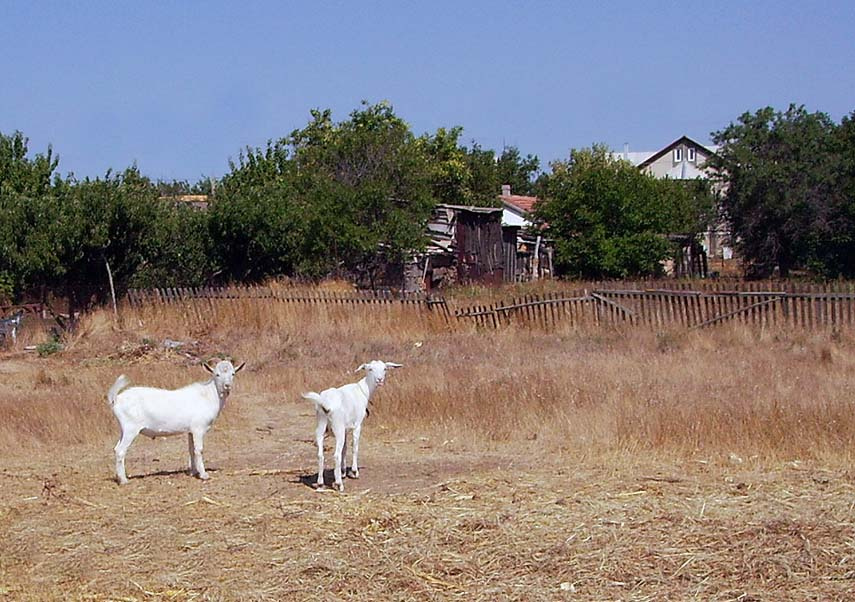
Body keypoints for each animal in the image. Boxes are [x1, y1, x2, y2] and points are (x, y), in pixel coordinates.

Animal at [107, 359, 245, 485]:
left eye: (233, 373)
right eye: (217, 374)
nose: (227, 385)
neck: (208, 396)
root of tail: (116, 399)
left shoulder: (190, 431)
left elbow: (191, 450)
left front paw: (193, 472)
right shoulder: (198, 429)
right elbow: (199, 450)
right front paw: (204, 475)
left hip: (124, 430)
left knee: (116, 448)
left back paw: (119, 477)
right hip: (131, 429)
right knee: (121, 451)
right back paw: (124, 480)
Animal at [303, 360, 402, 492]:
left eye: (385, 368)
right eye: (370, 369)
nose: (379, 380)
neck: (363, 390)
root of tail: (325, 404)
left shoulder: (345, 430)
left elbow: (345, 449)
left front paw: (343, 471)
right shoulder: (357, 425)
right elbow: (354, 447)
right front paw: (354, 472)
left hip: (320, 427)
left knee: (320, 454)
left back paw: (320, 483)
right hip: (338, 428)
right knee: (336, 455)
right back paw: (339, 484)